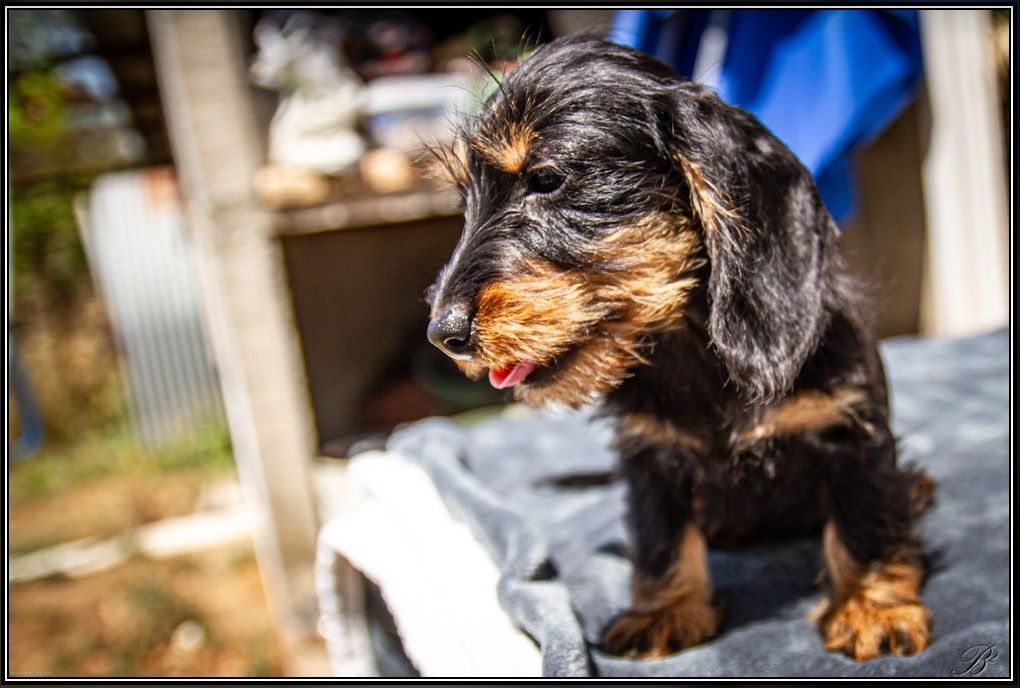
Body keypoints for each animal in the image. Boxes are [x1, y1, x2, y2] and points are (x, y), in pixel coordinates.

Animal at [422, 33, 934, 660]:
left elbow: (863, 518)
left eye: (546, 180)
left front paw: (871, 607)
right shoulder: (651, 458)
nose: (442, 334)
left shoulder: (851, 427)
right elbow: (661, 537)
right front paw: (664, 611)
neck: (691, 350)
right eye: (465, 202)